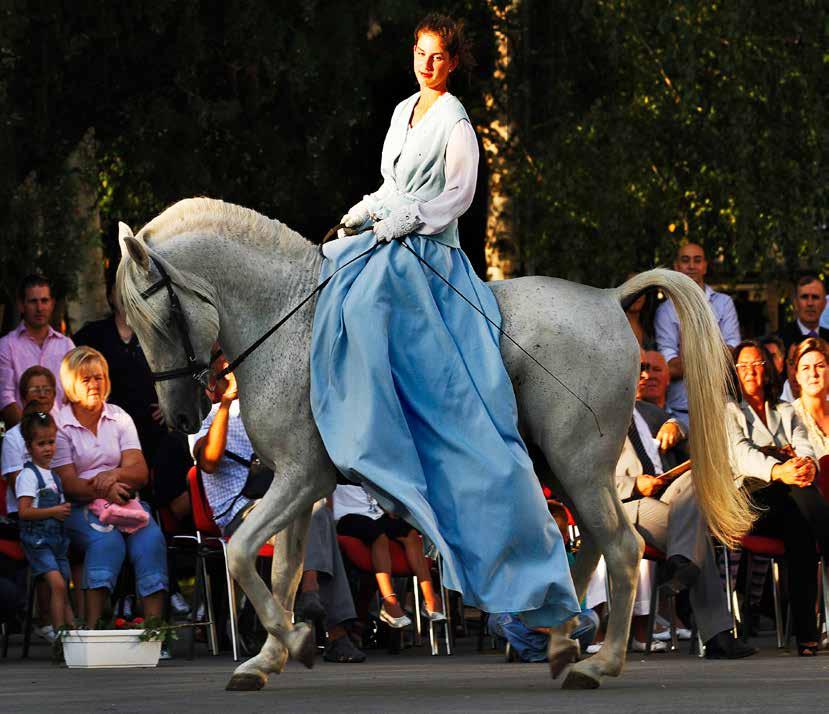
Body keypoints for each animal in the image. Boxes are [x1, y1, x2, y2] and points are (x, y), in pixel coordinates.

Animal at [115, 197, 752, 688]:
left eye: (160, 321)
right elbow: (283, 570)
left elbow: (244, 551)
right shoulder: (300, 484)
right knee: (597, 544)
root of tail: (607, 298)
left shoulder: (301, 478)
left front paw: (291, 641)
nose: (178, 414)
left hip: (578, 462)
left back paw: (595, 663)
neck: (290, 323)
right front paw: (270, 657)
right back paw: (560, 638)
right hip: (566, 466)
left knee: (620, 547)